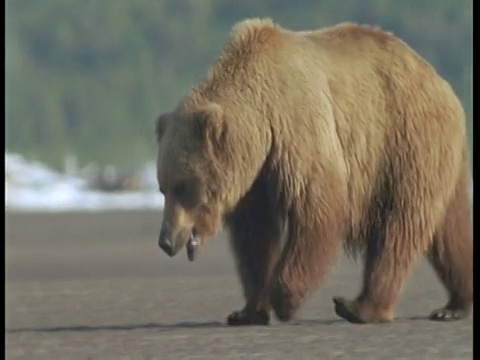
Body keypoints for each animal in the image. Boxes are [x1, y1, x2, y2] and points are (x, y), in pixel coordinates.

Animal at [155, 18, 472, 324]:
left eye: (182, 186)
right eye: (163, 187)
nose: (166, 241)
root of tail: (439, 81)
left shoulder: (296, 127)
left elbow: (316, 208)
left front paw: (284, 298)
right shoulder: (257, 177)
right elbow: (255, 236)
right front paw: (247, 311)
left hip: (406, 142)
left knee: (399, 228)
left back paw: (360, 307)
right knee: (450, 230)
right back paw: (455, 305)